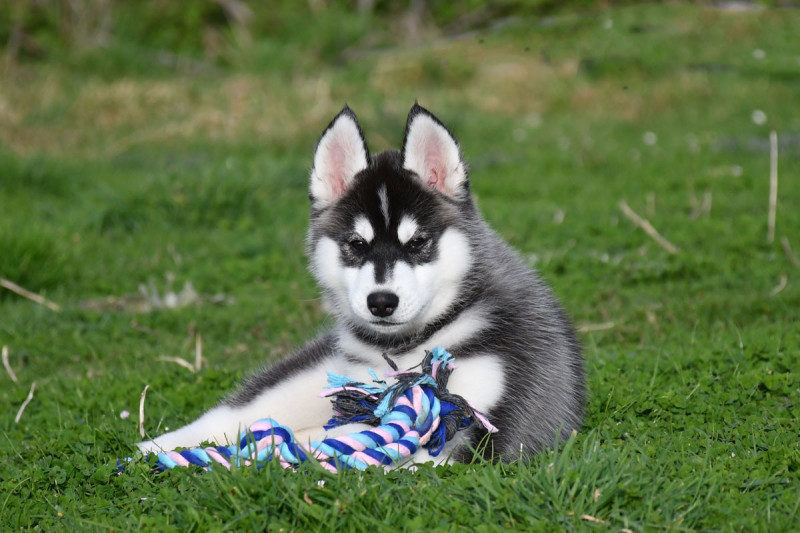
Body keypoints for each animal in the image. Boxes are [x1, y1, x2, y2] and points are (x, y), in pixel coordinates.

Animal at [137, 104, 585, 464]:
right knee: (236, 412)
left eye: (417, 243)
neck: (407, 348)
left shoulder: (477, 417)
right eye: (356, 244)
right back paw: (154, 446)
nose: (381, 302)